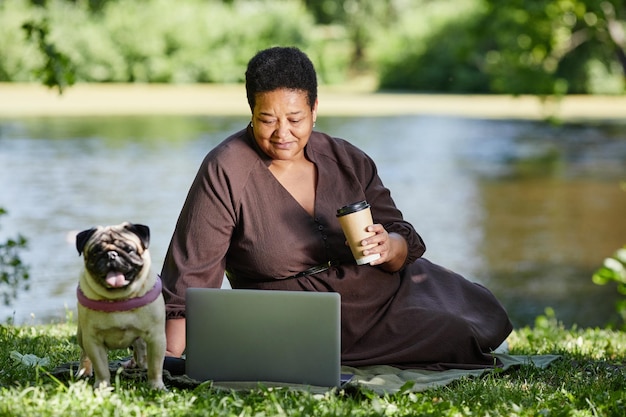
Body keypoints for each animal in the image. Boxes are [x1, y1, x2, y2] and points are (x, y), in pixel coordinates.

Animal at [74, 223, 166, 388]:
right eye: (96, 251)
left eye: (129, 249)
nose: (111, 254)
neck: (119, 297)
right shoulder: (93, 341)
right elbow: (101, 368)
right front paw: (102, 387)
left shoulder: (156, 338)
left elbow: (156, 366)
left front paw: (156, 386)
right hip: (81, 335)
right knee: (85, 353)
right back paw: (84, 370)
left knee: (141, 349)